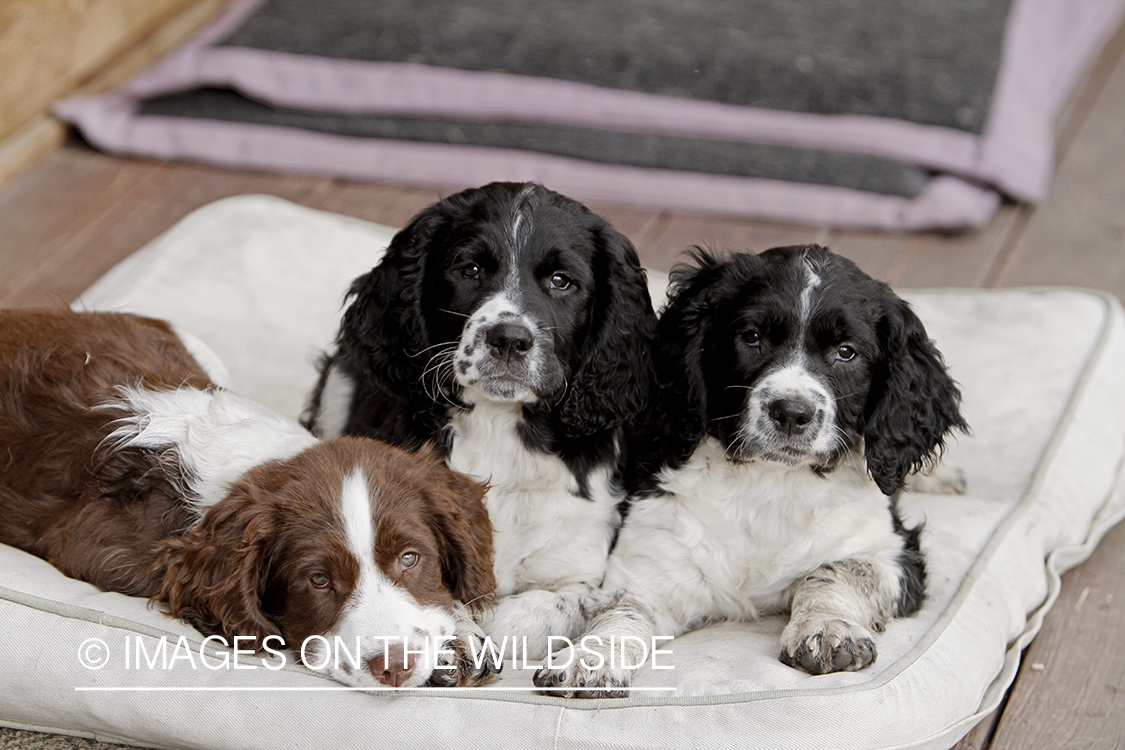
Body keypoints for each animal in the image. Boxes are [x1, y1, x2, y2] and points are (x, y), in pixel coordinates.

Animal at [306, 183, 657, 656]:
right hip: (337, 389)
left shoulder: (579, 564)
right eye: (469, 270)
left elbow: (549, 606)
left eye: (561, 281)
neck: (501, 430)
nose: (508, 339)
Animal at [533, 246, 967, 697]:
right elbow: (623, 609)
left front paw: (828, 629)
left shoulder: (896, 553)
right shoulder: (651, 561)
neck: (770, 484)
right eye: (752, 337)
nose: (791, 412)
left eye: (847, 352)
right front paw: (591, 657)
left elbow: (836, 569)